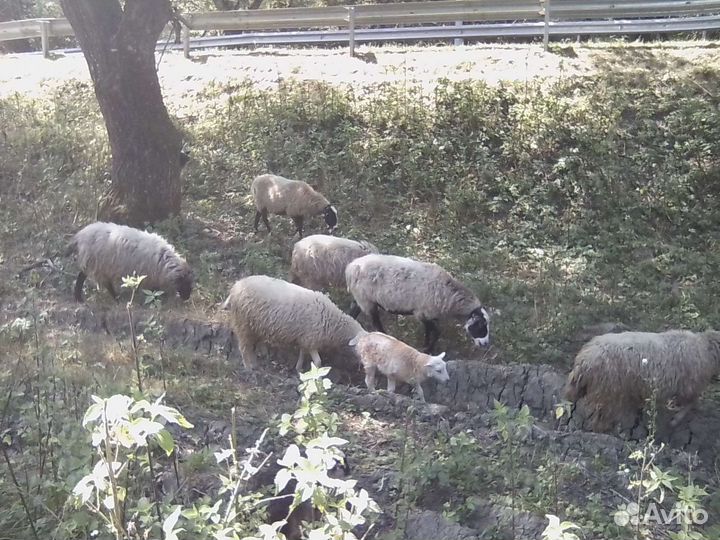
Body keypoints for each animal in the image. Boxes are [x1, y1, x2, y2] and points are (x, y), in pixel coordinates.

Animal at [221, 275, 363, 371]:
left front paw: (299, 368)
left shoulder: (305, 339)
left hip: (256, 323)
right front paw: (316, 375)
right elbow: (318, 361)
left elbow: (302, 353)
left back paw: (263, 354)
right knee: (244, 347)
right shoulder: (311, 339)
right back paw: (249, 366)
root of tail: (235, 287)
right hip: (242, 322)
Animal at [345, 254, 490, 353]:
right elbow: (437, 332)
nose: (485, 344)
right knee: (376, 323)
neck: (449, 295)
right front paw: (427, 349)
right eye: (480, 325)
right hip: (367, 301)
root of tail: (351, 267)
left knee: (352, 313)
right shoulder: (422, 312)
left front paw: (426, 345)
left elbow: (429, 331)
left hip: (360, 298)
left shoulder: (430, 314)